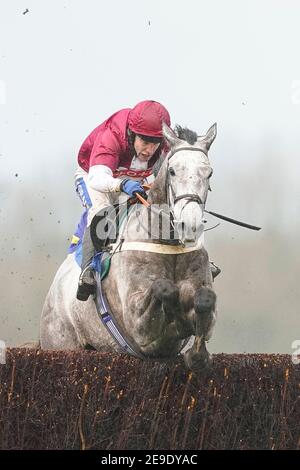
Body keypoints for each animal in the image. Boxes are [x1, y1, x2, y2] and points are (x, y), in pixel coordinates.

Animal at [40, 121, 218, 370]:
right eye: (173, 171)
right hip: (59, 342)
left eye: (209, 173)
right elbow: (164, 288)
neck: (168, 243)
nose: (190, 225)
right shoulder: (138, 326)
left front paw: (197, 353)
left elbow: (205, 300)